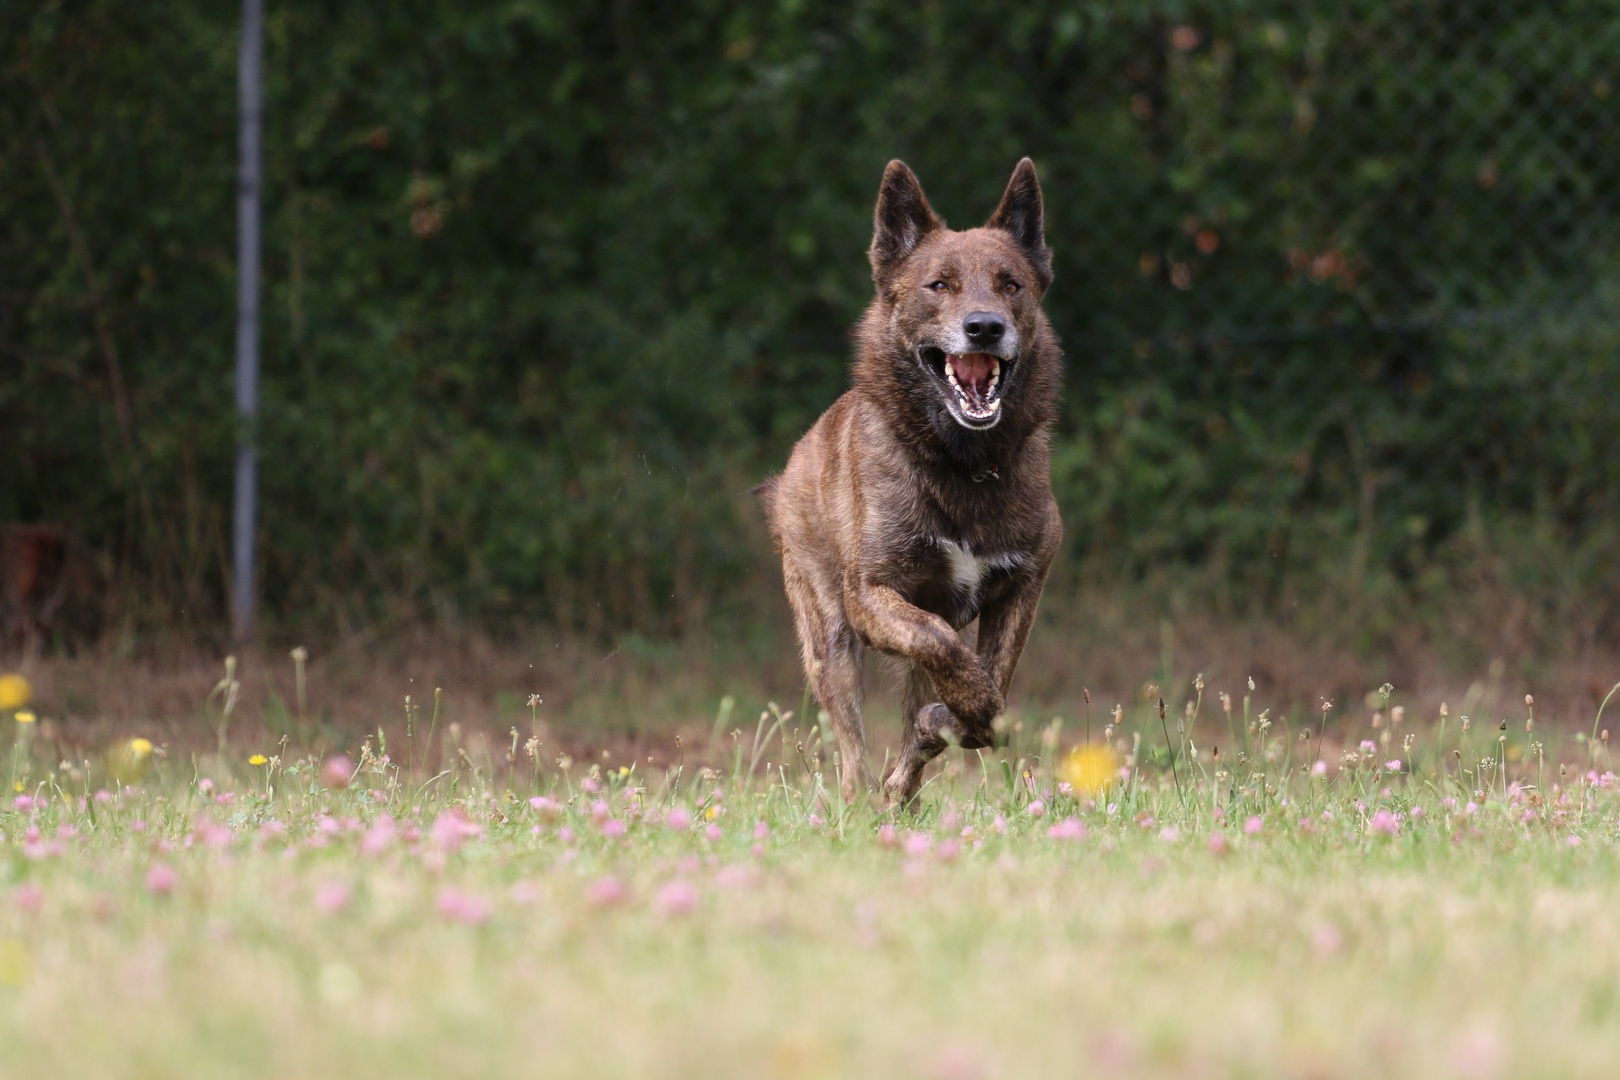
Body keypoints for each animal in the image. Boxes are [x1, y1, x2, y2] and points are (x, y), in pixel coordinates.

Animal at [758, 156, 1062, 806]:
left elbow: (986, 685)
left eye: (1011, 284)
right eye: (939, 285)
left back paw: (905, 791)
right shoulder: (874, 595)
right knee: (851, 749)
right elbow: (947, 649)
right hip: (829, 639)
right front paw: (970, 707)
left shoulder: (1024, 585)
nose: (984, 328)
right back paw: (862, 803)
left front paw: (954, 722)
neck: (963, 464)